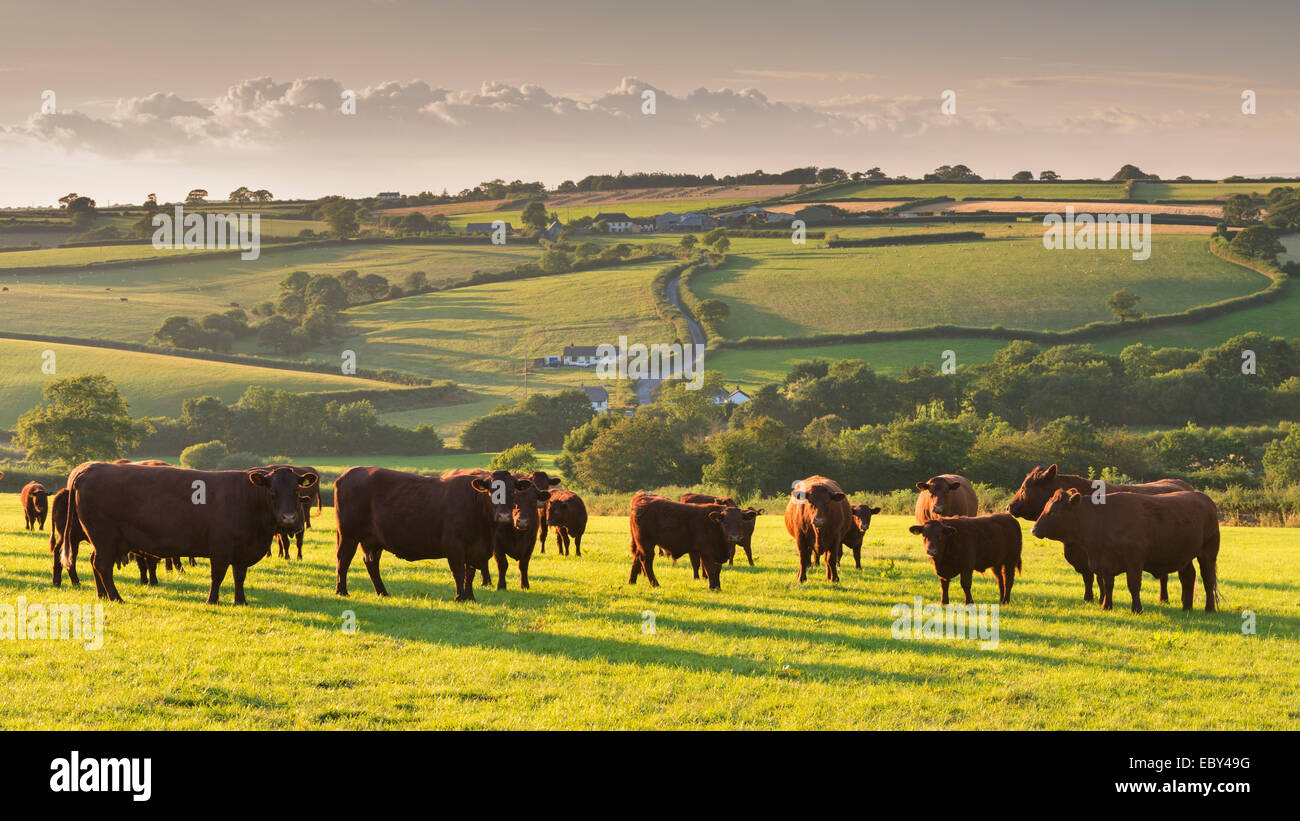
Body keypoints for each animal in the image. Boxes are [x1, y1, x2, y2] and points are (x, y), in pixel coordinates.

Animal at [65, 462, 317, 602]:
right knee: (102, 566)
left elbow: (239, 576)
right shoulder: (221, 548)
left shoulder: (242, 550)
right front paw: (212, 600)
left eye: (297, 491)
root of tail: (89, 468)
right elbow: (218, 576)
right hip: (105, 537)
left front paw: (241, 600)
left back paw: (102, 595)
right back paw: (116, 597)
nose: (288, 518)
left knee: (95, 562)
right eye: (272, 492)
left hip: (104, 541)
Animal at [335, 467, 527, 602]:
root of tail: (349, 473)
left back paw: (382, 592)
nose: (504, 516)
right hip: (348, 536)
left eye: (512, 491)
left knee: (371, 563)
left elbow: (470, 573)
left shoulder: (475, 549)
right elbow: (459, 572)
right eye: (491, 491)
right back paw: (342, 591)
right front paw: (460, 597)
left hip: (372, 540)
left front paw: (470, 596)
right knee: (343, 560)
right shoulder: (454, 545)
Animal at [1008, 465, 1190, 605]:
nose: (1009, 506)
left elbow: (1098, 578)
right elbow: (1089, 578)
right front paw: (1089, 598)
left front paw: (1100, 599)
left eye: (1024, 488)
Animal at [1029, 488, 1222, 615]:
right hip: (1184, 555)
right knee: (1188, 577)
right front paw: (1106, 606)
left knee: (1208, 579)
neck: (1101, 520)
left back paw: (1209, 608)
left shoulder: (1134, 560)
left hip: (1208, 553)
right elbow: (1107, 584)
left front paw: (1137, 609)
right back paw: (1186, 607)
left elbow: (1133, 584)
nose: (1033, 530)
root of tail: (1203, 497)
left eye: (1053, 511)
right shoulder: (1105, 562)